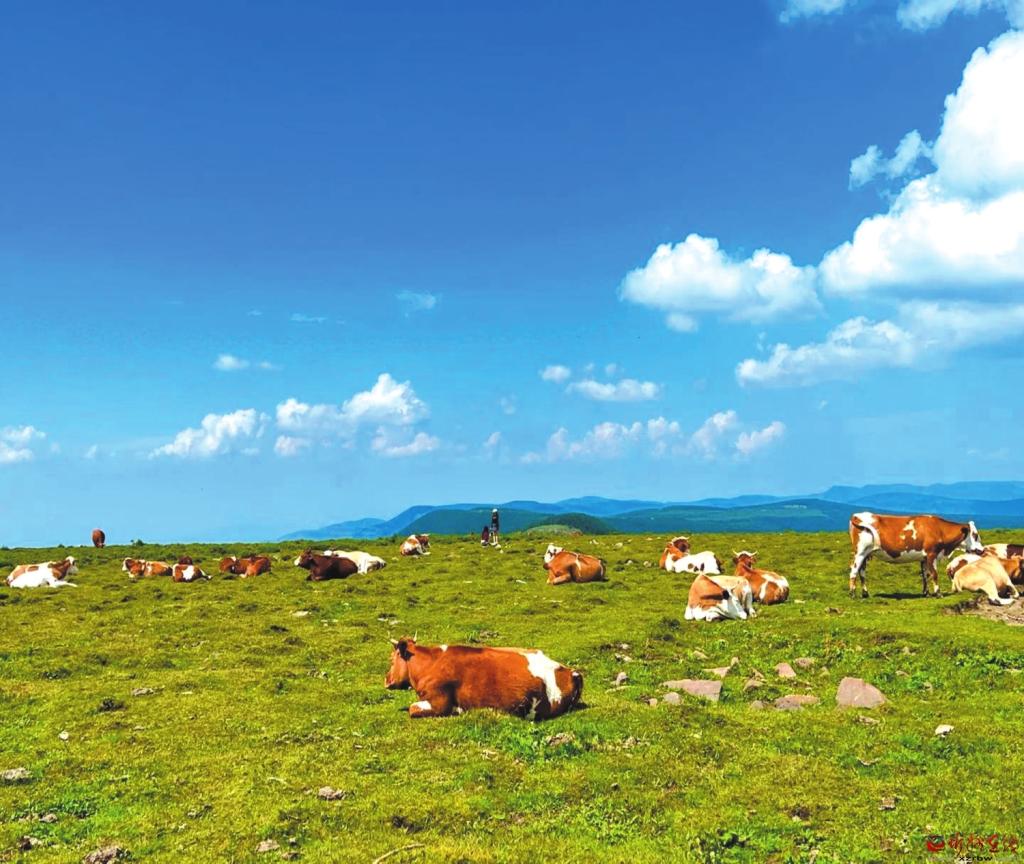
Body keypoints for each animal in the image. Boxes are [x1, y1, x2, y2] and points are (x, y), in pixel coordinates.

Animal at [384, 637, 583, 720]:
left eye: (392, 659)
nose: (386, 680)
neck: (430, 664)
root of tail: (571, 671)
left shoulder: (438, 702)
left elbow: (413, 709)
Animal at [848, 512, 984, 598]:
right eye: (975, 535)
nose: (981, 550)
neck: (939, 529)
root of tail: (857, 515)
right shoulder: (931, 554)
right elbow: (934, 574)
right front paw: (938, 593)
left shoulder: (924, 558)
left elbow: (926, 575)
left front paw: (926, 593)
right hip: (860, 552)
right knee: (854, 571)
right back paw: (852, 594)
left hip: (866, 554)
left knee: (862, 573)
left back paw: (865, 594)